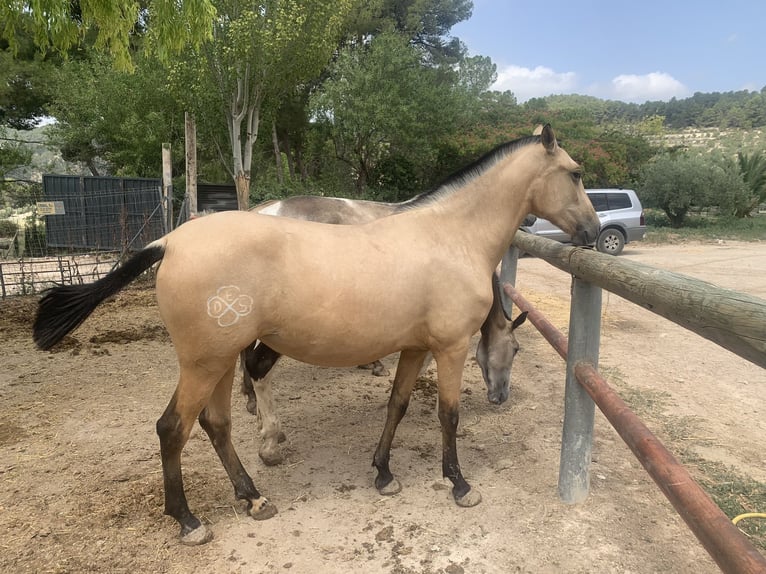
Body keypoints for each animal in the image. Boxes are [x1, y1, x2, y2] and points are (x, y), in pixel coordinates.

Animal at [34, 124, 600, 548]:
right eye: (575, 174)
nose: (595, 233)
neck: (450, 236)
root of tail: (170, 241)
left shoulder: (415, 347)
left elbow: (396, 404)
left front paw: (383, 474)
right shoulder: (450, 348)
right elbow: (448, 415)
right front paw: (459, 484)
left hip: (219, 362)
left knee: (217, 424)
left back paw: (253, 497)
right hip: (203, 363)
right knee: (173, 428)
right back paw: (190, 521)